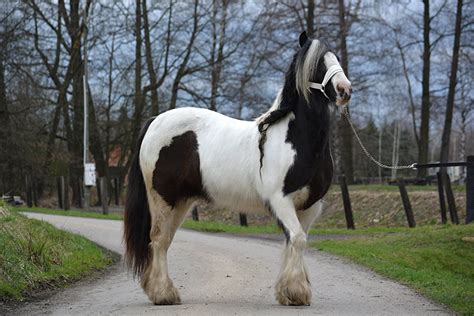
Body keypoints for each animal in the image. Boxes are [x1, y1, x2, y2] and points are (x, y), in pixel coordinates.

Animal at [123, 31, 352, 306]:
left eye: (335, 57)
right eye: (318, 63)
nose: (345, 90)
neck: (297, 139)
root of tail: (155, 120)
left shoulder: (310, 206)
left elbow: (294, 241)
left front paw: (289, 291)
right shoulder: (280, 200)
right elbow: (297, 239)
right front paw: (296, 292)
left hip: (180, 202)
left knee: (165, 240)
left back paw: (161, 291)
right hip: (162, 199)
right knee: (157, 239)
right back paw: (163, 294)